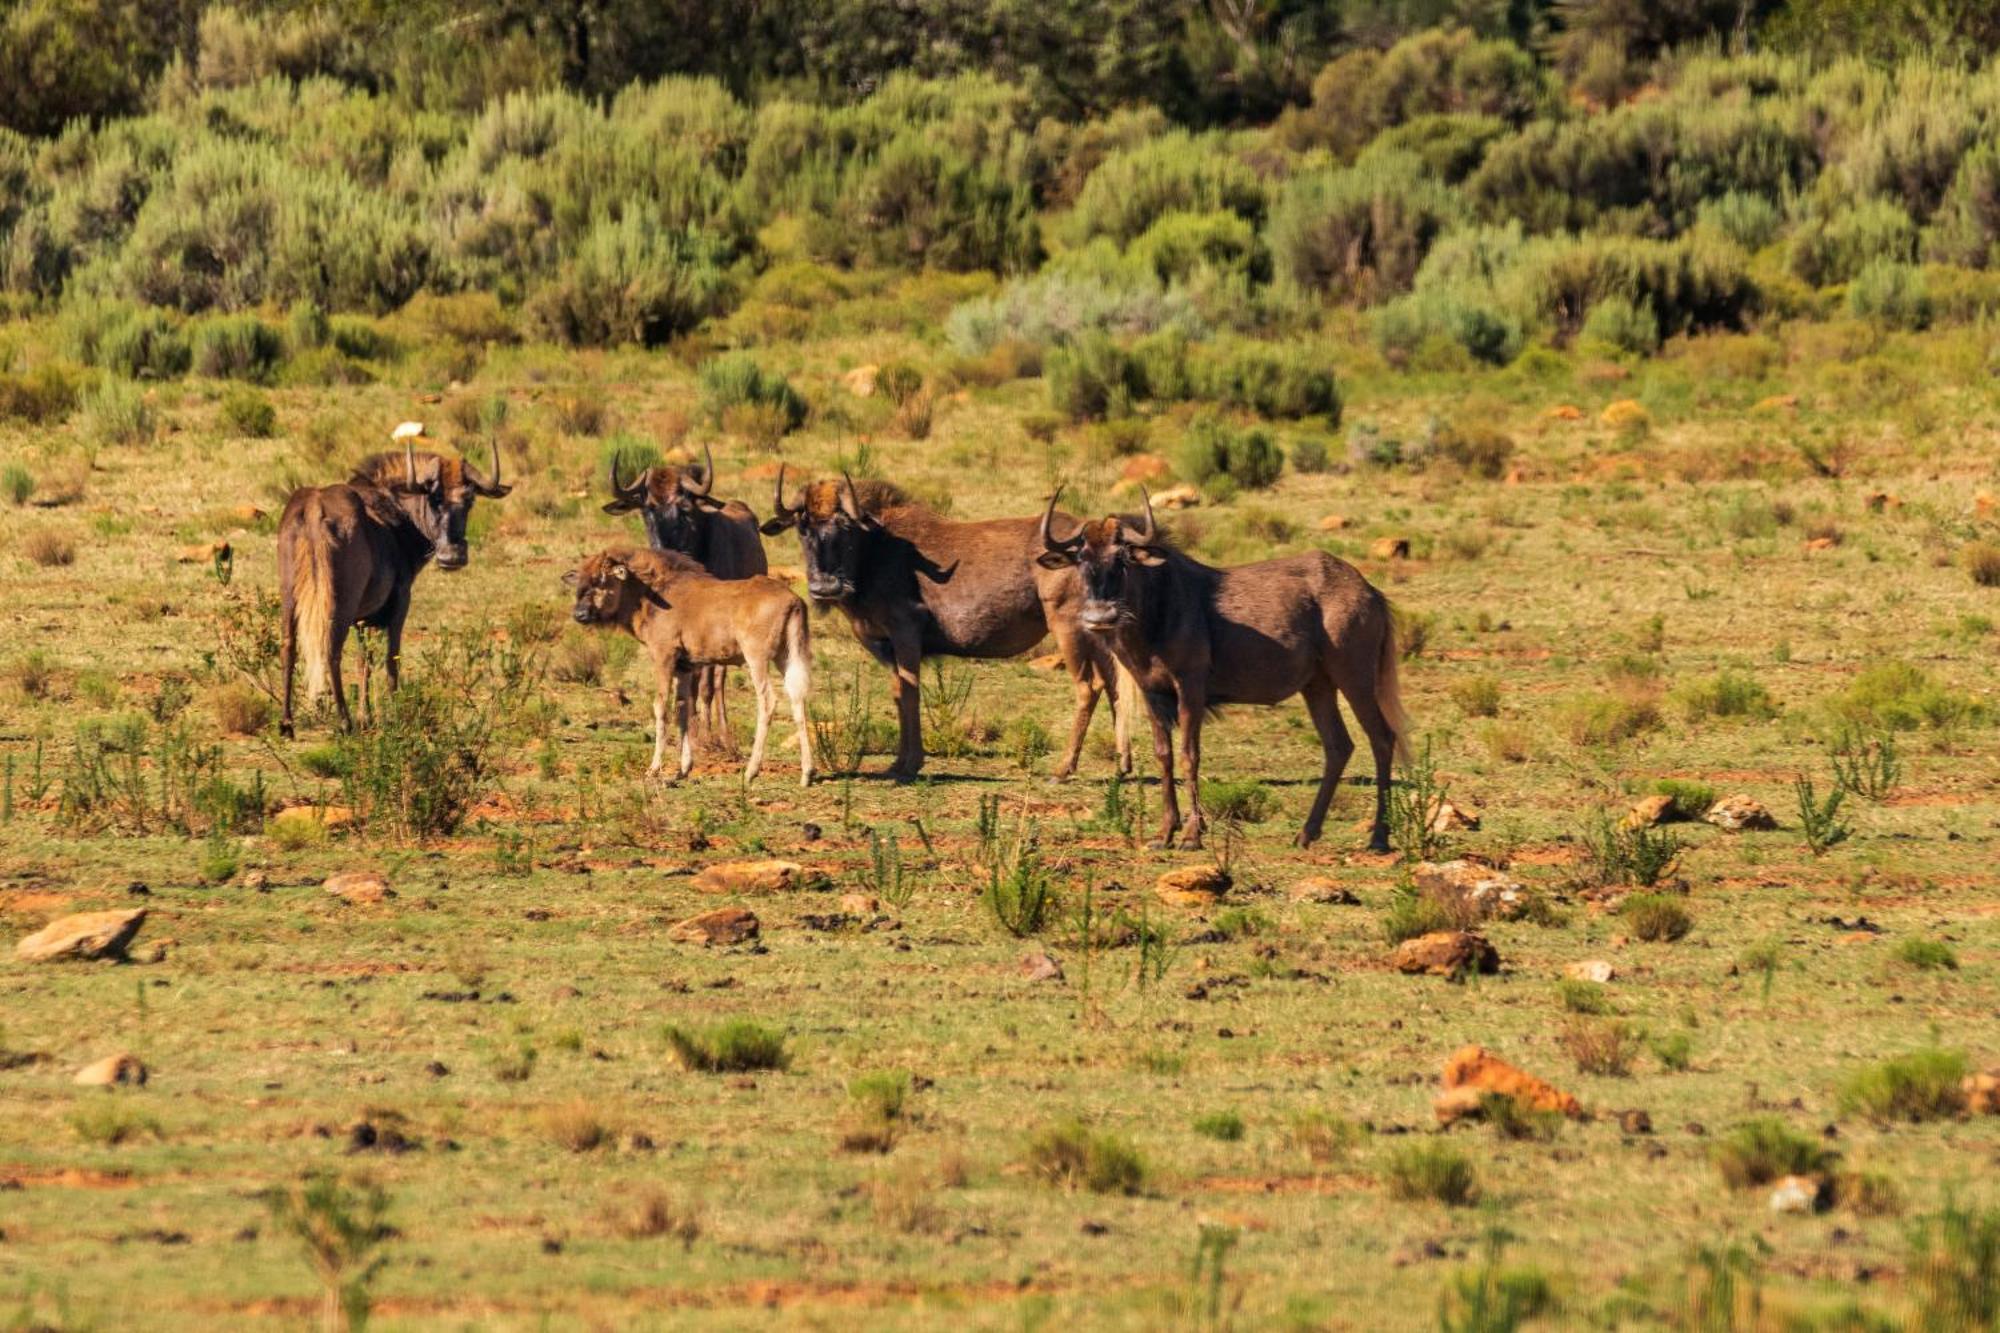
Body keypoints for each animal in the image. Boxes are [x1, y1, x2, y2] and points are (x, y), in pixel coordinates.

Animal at [278, 428, 512, 732]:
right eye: (435, 498)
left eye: (470, 500)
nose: (452, 556)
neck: (395, 514)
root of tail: (315, 508)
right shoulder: (400, 600)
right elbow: (392, 659)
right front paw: (395, 714)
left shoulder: (363, 620)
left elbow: (364, 661)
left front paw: (366, 715)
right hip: (339, 603)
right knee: (331, 652)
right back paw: (344, 721)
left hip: (289, 599)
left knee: (288, 647)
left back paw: (286, 723)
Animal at [564, 544, 812, 784]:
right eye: (582, 580)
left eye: (602, 580)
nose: (580, 614)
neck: (651, 594)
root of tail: (793, 600)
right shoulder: (684, 667)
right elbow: (683, 709)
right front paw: (684, 768)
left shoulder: (663, 657)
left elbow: (661, 707)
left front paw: (654, 768)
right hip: (786, 657)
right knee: (797, 698)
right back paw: (807, 772)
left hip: (756, 658)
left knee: (768, 700)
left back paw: (751, 771)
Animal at [596, 440, 760, 740]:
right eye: (647, 508)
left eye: (683, 507)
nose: (662, 547)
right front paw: (685, 723)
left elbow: (705, 682)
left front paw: (704, 730)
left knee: (718, 680)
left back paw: (721, 729)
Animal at [756, 466, 1128, 780]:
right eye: (803, 527)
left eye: (845, 526)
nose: (825, 587)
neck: (875, 548)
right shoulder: (885, 646)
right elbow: (898, 693)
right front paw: (898, 762)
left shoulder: (905, 634)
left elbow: (910, 693)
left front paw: (910, 764)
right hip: (1096, 633)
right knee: (1113, 683)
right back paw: (1123, 765)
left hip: (1068, 628)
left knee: (1088, 686)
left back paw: (1063, 769)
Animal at [1040, 482, 1416, 844]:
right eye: (1081, 558)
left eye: (1122, 559)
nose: (1100, 617)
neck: (1157, 610)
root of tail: (1370, 592)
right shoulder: (1152, 692)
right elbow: (1164, 754)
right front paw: (1165, 832)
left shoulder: (1190, 687)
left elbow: (1190, 754)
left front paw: (1192, 834)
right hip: (1318, 685)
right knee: (1338, 745)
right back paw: (1306, 833)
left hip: (1355, 678)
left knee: (1382, 738)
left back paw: (1379, 837)